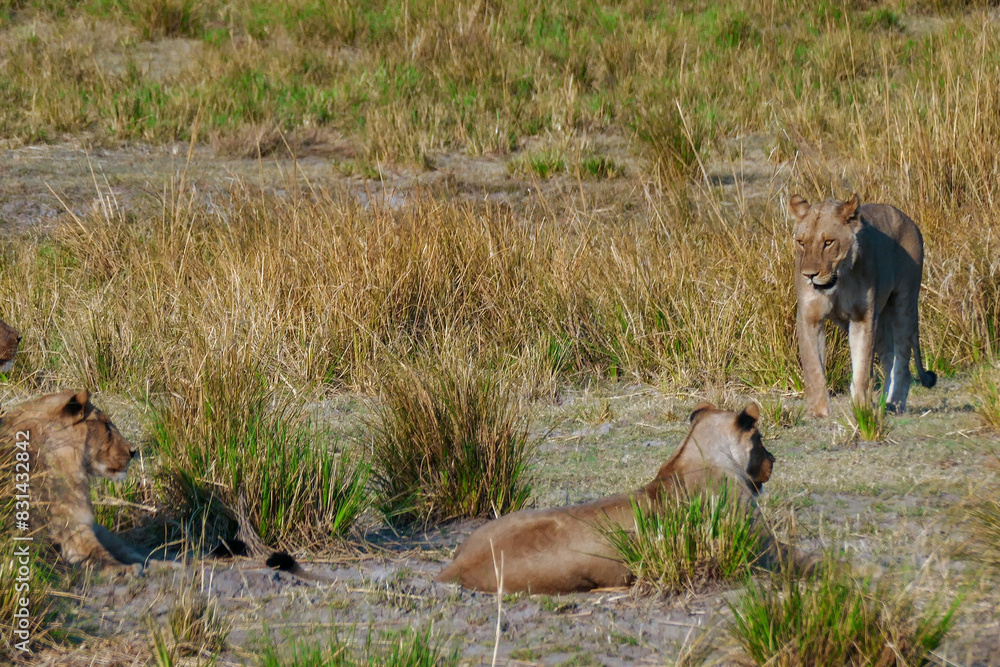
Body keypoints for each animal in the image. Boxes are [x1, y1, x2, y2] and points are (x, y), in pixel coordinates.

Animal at [788, 193, 936, 418]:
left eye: (828, 242)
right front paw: (819, 412)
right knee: (889, 356)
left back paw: (894, 404)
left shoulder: (863, 317)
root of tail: (907, 219)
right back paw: (882, 402)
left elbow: (862, 367)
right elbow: (813, 368)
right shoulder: (809, 317)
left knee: (902, 358)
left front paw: (862, 408)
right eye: (801, 242)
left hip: (904, 303)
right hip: (878, 320)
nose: (809, 275)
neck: (839, 280)